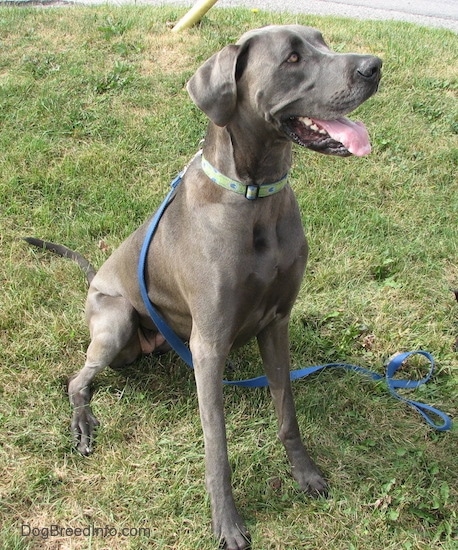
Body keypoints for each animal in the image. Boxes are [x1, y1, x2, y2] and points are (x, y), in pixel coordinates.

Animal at [26, 24, 382, 550]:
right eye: (292, 58)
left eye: (323, 40)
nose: (374, 66)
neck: (256, 197)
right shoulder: (209, 342)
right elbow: (218, 446)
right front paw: (227, 523)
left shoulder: (277, 323)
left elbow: (287, 414)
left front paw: (306, 474)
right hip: (116, 323)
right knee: (78, 380)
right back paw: (83, 426)